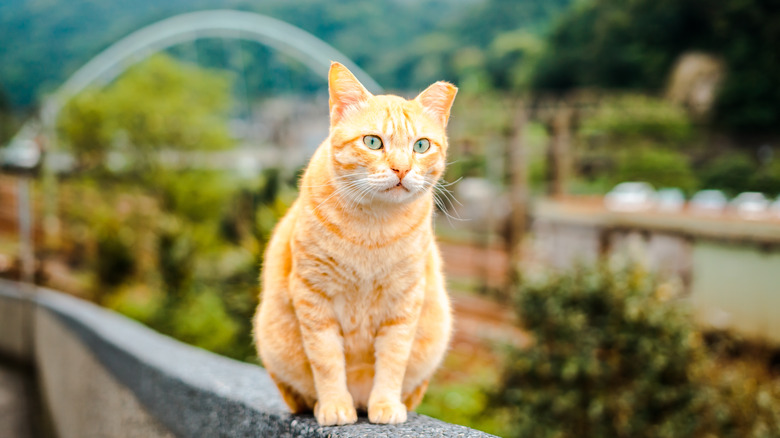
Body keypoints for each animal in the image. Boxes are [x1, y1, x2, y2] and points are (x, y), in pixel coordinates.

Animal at [253, 61, 458, 424]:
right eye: (373, 142)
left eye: (421, 146)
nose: (401, 169)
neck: (373, 229)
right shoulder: (314, 298)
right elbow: (327, 362)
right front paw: (335, 406)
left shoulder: (404, 301)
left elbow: (393, 360)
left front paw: (386, 405)